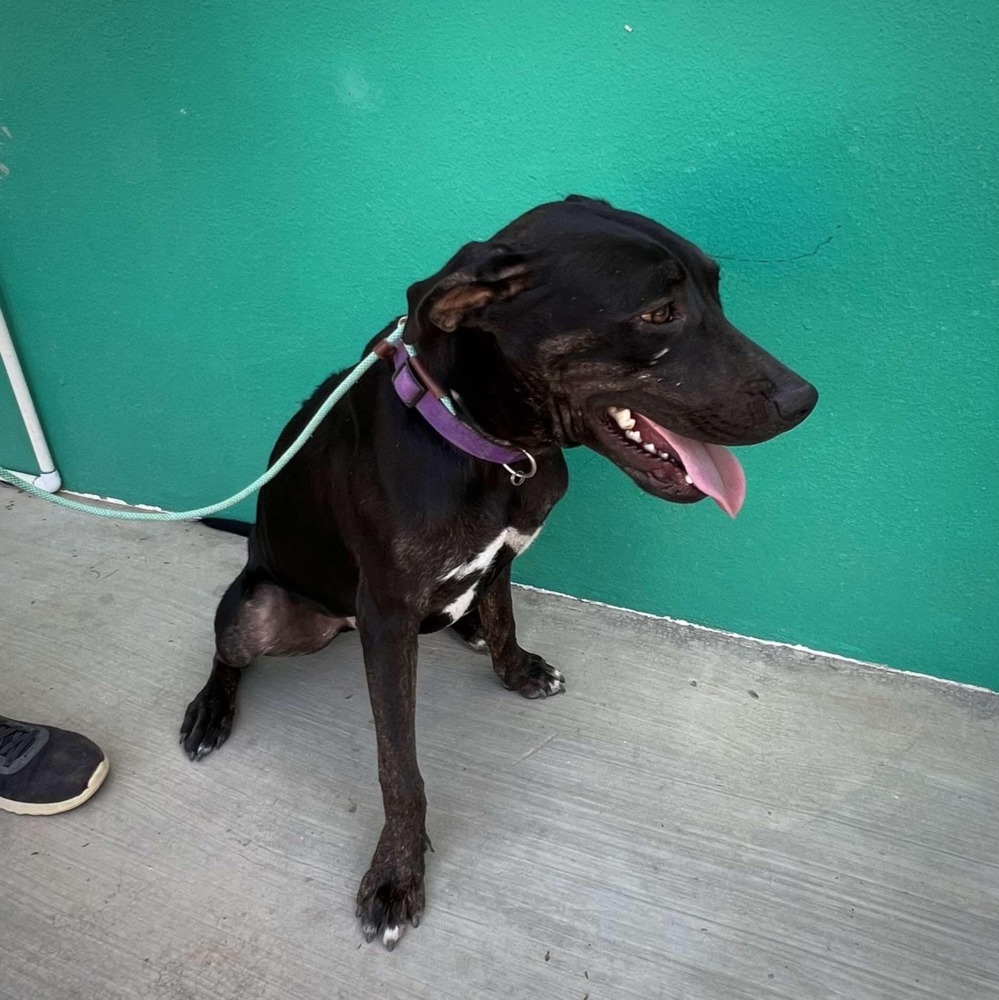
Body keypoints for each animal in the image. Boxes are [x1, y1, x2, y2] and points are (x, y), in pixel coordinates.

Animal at [182, 193, 820, 944]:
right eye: (659, 313)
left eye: (716, 292)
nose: (804, 401)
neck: (488, 446)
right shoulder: (386, 617)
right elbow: (399, 769)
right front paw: (396, 874)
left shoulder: (506, 552)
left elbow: (503, 610)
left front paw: (514, 668)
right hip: (260, 610)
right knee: (228, 649)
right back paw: (210, 710)